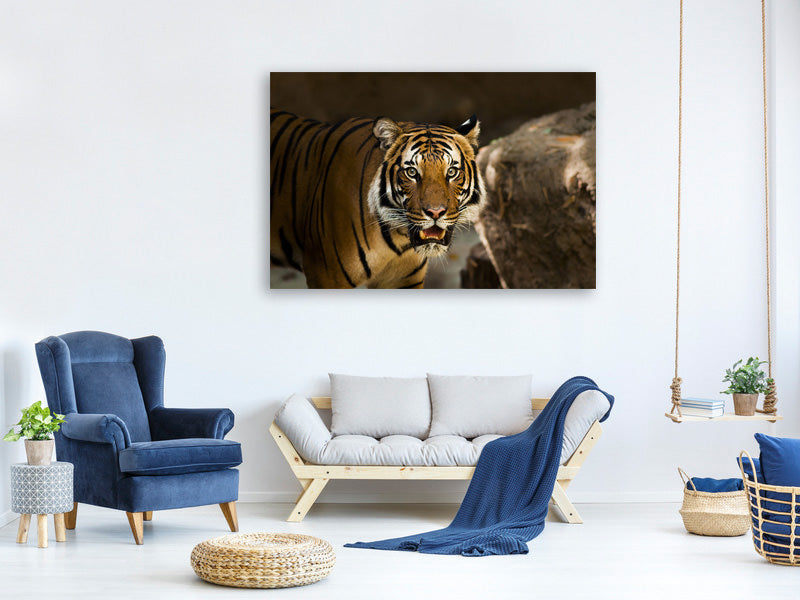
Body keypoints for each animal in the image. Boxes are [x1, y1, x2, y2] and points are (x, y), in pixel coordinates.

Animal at [269, 109, 486, 288]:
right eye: (412, 172)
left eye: (451, 172)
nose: (435, 212)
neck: (398, 239)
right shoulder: (327, 276)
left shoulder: (405, 281)